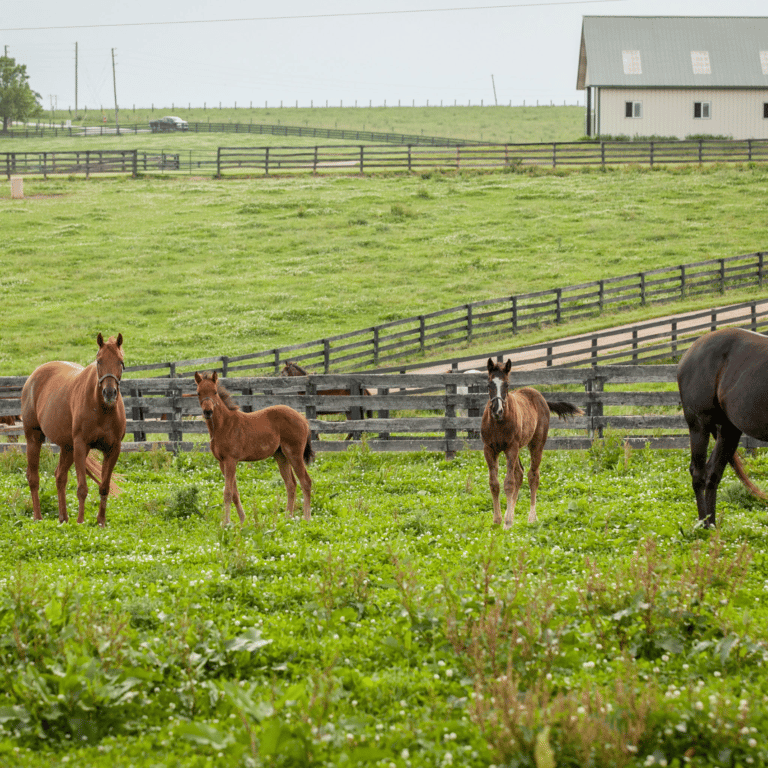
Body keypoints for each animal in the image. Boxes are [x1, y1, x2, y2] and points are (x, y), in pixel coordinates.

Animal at [20, 332, 126, 524]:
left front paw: (101, 522)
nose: (109, 393)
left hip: (67, 447)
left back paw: (63, 518)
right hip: (34, 438)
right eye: (99, 361)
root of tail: (33, 377)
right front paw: (81, 522)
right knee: (33, 478)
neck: (102, 409)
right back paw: (38, 517)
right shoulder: (81, 446)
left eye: (120, 362)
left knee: (60, 476)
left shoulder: (113, 449)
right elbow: (82, 488)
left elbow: (104, 487)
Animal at [195, 370, 316, 524]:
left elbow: (227, 492)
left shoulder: (230, 460)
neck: (225, 425)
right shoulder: (222, 462)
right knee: (291, 484)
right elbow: (234, 493)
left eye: (215, 392)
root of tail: (303, 418)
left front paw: (226, 523)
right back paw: (287, 518)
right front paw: (243, 521)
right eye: (198, 393)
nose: (208, 412)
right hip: (281, 455)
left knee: (305, 481)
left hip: (294, 453)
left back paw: (307, 518)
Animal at [480, 358, 584, 528]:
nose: (497, 410)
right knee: (520, 473)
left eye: (506, 385)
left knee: (532, 476)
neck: (498, 423)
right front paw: (497, 521)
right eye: (489, 385)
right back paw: (511, 514)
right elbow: (494, 484)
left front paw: (506, 524)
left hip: (536, 444)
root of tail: (541, 397)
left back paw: (531, 518)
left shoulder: (511, 448)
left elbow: (509, 483)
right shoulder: (489, 449)